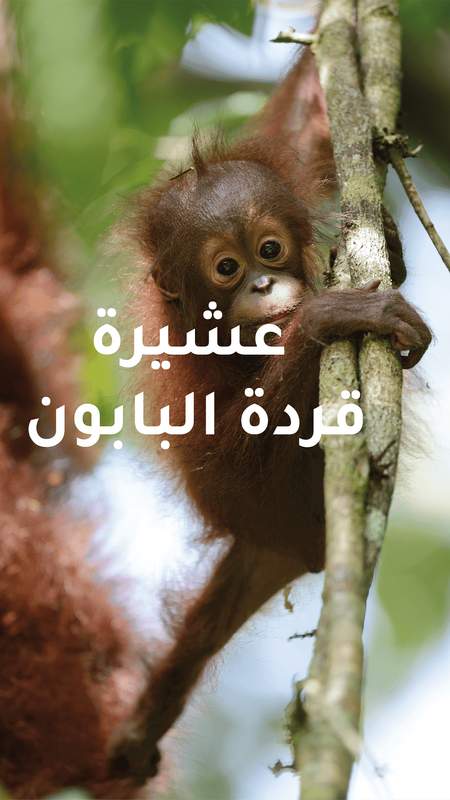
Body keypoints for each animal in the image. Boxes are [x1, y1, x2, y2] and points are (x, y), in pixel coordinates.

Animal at [107, 47, 431, 785]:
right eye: (227, 267)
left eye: (271, 249)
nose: (262, 283)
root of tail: (282, 547)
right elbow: (228, 455)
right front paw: (329, 317)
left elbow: (307, 118)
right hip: (272, 511)